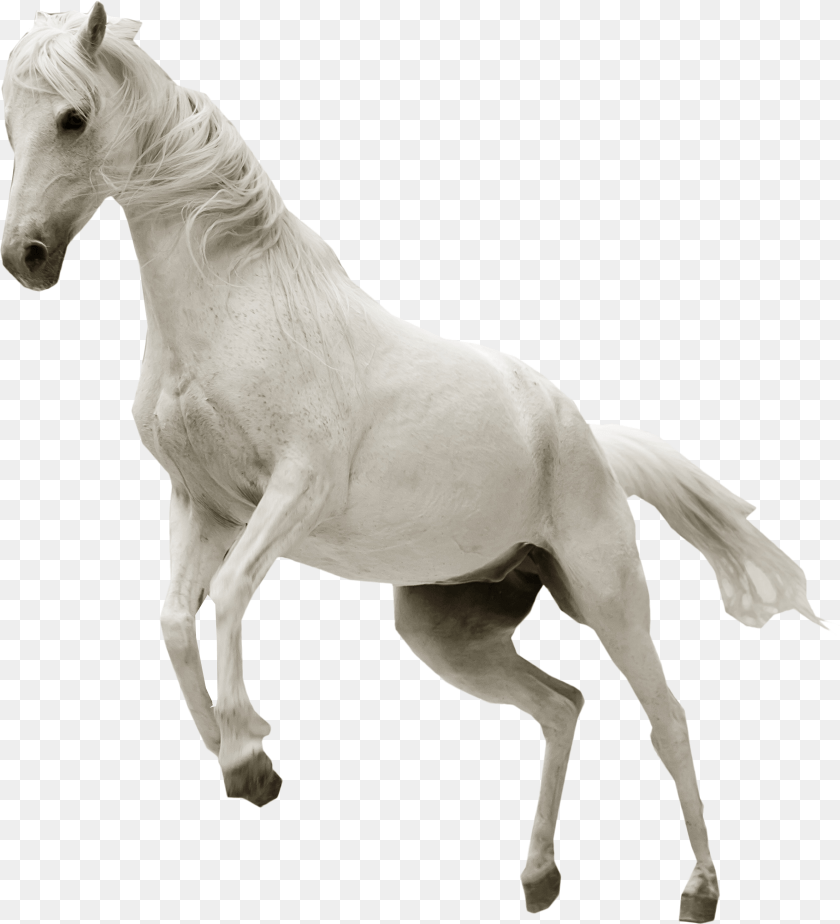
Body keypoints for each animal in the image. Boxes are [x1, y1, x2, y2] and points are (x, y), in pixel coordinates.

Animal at [1, 7, 825, 922]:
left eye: (72, 118)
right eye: (11, 122)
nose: (25, 256)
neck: (239, 306)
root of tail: (588, 440)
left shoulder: (294, 491)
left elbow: (230, 596)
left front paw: (248, 754)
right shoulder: (201, 505)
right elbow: (176, 620)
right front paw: (238, 754)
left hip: (609, 596)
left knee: (668, 719)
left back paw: (700, 887)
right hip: (446, 630)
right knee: (561, 706)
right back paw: (539, 876)